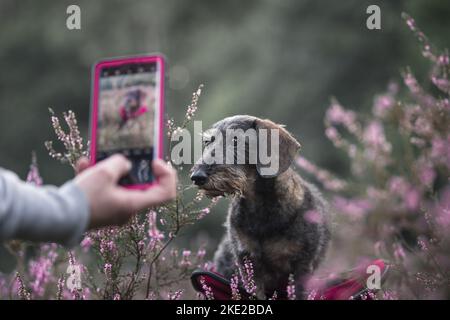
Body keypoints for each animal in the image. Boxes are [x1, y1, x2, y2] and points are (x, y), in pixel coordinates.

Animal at [190, 115, 330, 300]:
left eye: (236, 140)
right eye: (208, 142)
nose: (197, 176)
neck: (260, 207)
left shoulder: (302, 265)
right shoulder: (249, 263)